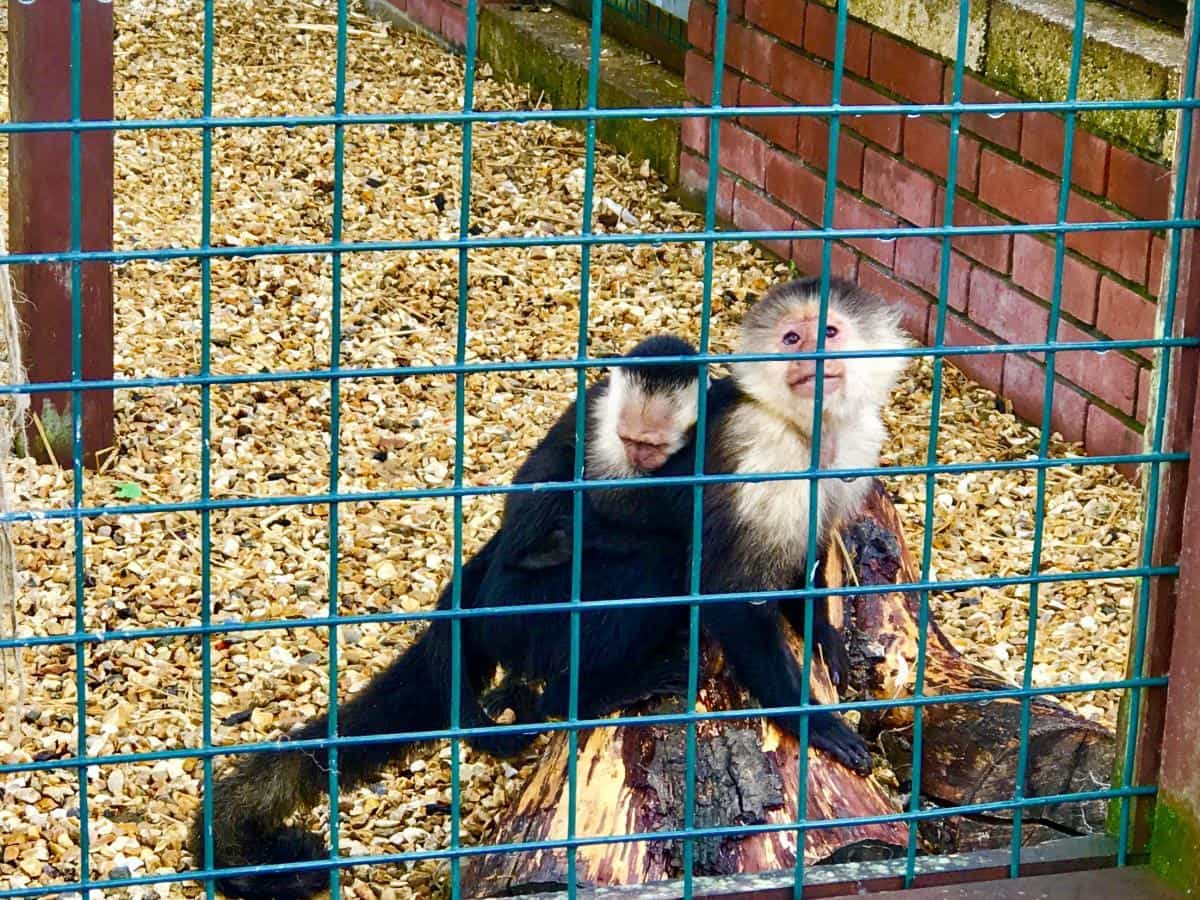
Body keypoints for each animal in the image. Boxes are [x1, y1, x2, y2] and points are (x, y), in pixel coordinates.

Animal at [191, 334, 709, 900]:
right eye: (633, 439)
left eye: (653, 444)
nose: (640, 457)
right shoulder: (594, 417)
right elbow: (541, 506)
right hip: (523, 614)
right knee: (640, 560)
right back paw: (587, 690)